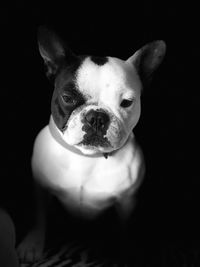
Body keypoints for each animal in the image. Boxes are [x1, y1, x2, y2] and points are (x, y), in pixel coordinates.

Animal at [17, 27, 166, 264]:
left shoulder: (127, 202)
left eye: (127, 103)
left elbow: (126, 230)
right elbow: (39, 217)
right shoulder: (40, 188)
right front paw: (32, 243)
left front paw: (128, 254)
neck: (87, 157)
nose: (97, 117)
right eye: (67, 97)